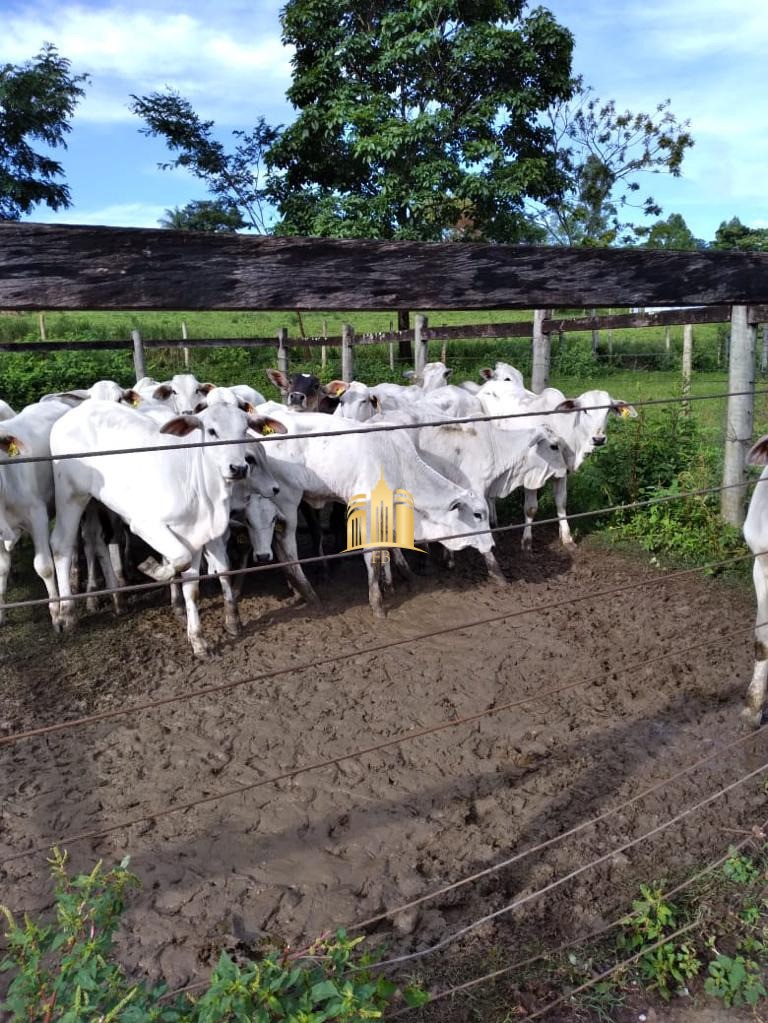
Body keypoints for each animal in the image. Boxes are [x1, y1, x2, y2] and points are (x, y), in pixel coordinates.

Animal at [50, 398, 286, 654]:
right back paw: (67, 614)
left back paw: (113, 599)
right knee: (61, 545)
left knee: (94, 538)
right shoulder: (146, 524)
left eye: (243, 431)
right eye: (212, 431)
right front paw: (153, 569)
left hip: (94, 503)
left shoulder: (197, 534)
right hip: (70, 496)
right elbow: (179, 560)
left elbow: (193, 585)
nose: (238, 468)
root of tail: (76, 411)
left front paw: (198, 639)